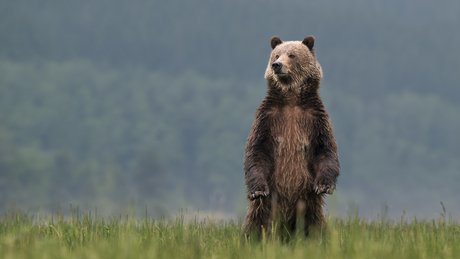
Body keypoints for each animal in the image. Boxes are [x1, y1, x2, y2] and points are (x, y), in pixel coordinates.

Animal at [243, 36, 340, 238]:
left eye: (292, 55)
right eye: (276, 54)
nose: (277, 65)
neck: (291, 99)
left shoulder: (315, 119)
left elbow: (325, 150)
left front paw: (324, 185)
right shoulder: (267, 119)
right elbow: (257, 151)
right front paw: (257, 190)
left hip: (308, 204)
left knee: (316, 225)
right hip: (267, 208)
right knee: (255, 224)